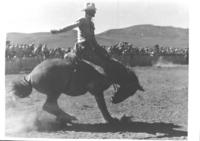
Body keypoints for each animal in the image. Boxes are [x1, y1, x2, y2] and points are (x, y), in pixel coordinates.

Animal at [10, 56, 144, 124]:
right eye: (130, 90)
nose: (114, 100)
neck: (106, 71)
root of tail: (30, 76)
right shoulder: (97, 90)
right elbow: (102, 106)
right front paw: (111, 119)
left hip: (54, 92)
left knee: (51, 106)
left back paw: (64, 118)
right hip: (55, 91)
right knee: (48, 106)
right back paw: (68, 117)